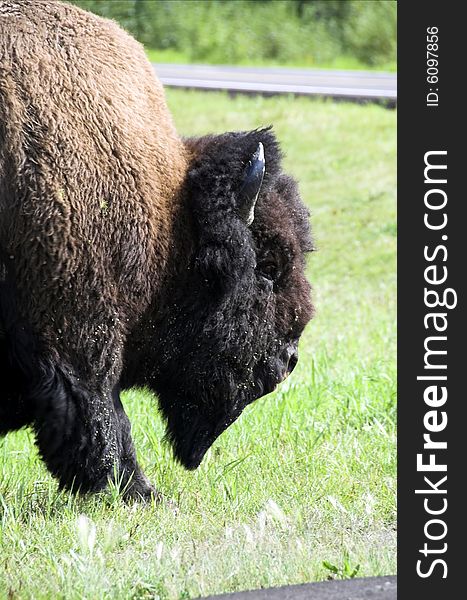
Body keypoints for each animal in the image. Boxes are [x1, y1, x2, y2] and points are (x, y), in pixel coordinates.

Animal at [0, 1, 314, 502]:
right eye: (268, 266)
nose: (288, 359)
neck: (171, 217)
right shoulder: (79, 330)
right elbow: (101, 413)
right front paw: (137, 492)